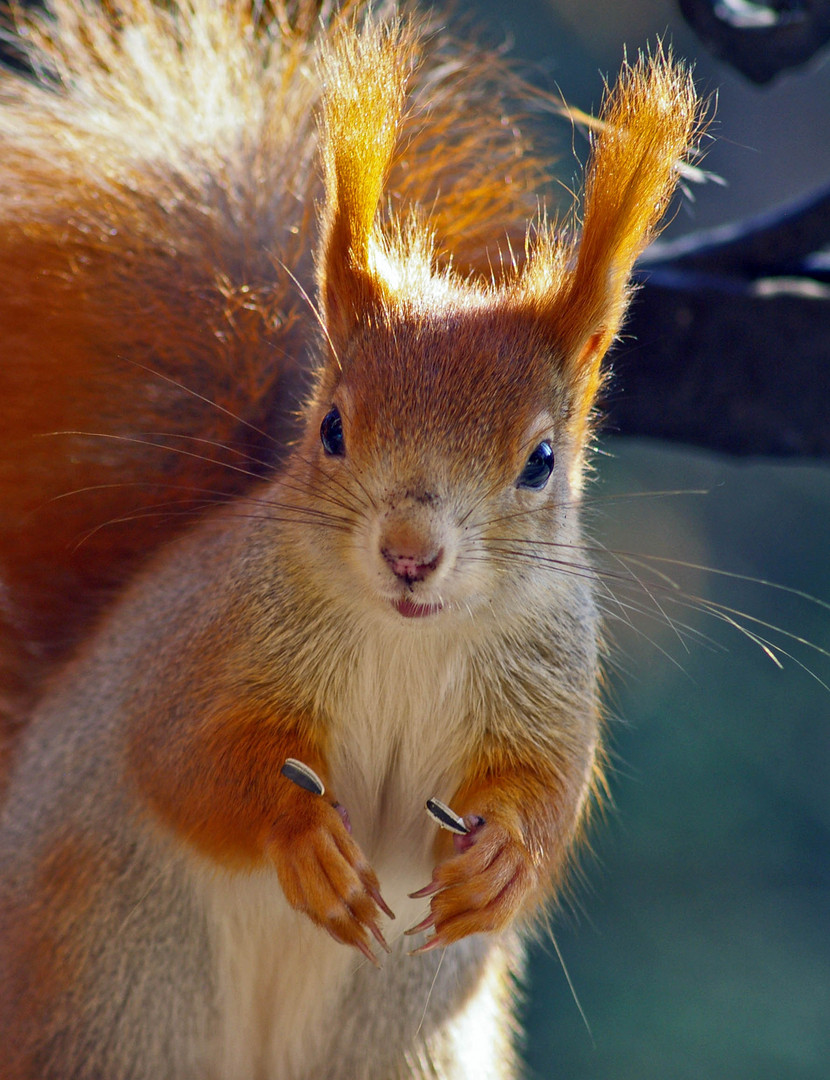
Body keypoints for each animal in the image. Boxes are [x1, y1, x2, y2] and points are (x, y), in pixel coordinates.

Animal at [0, 2, 699, 1080]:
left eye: (540, 460)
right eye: (331, 427)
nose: (409, 553)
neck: (406, 638)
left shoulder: (549, 697)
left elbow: (548, 803)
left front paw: (503, 858)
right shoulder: (199, 651)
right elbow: (189, 761)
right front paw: (306, 844)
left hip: (395, 1045)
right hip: (111, 1001)